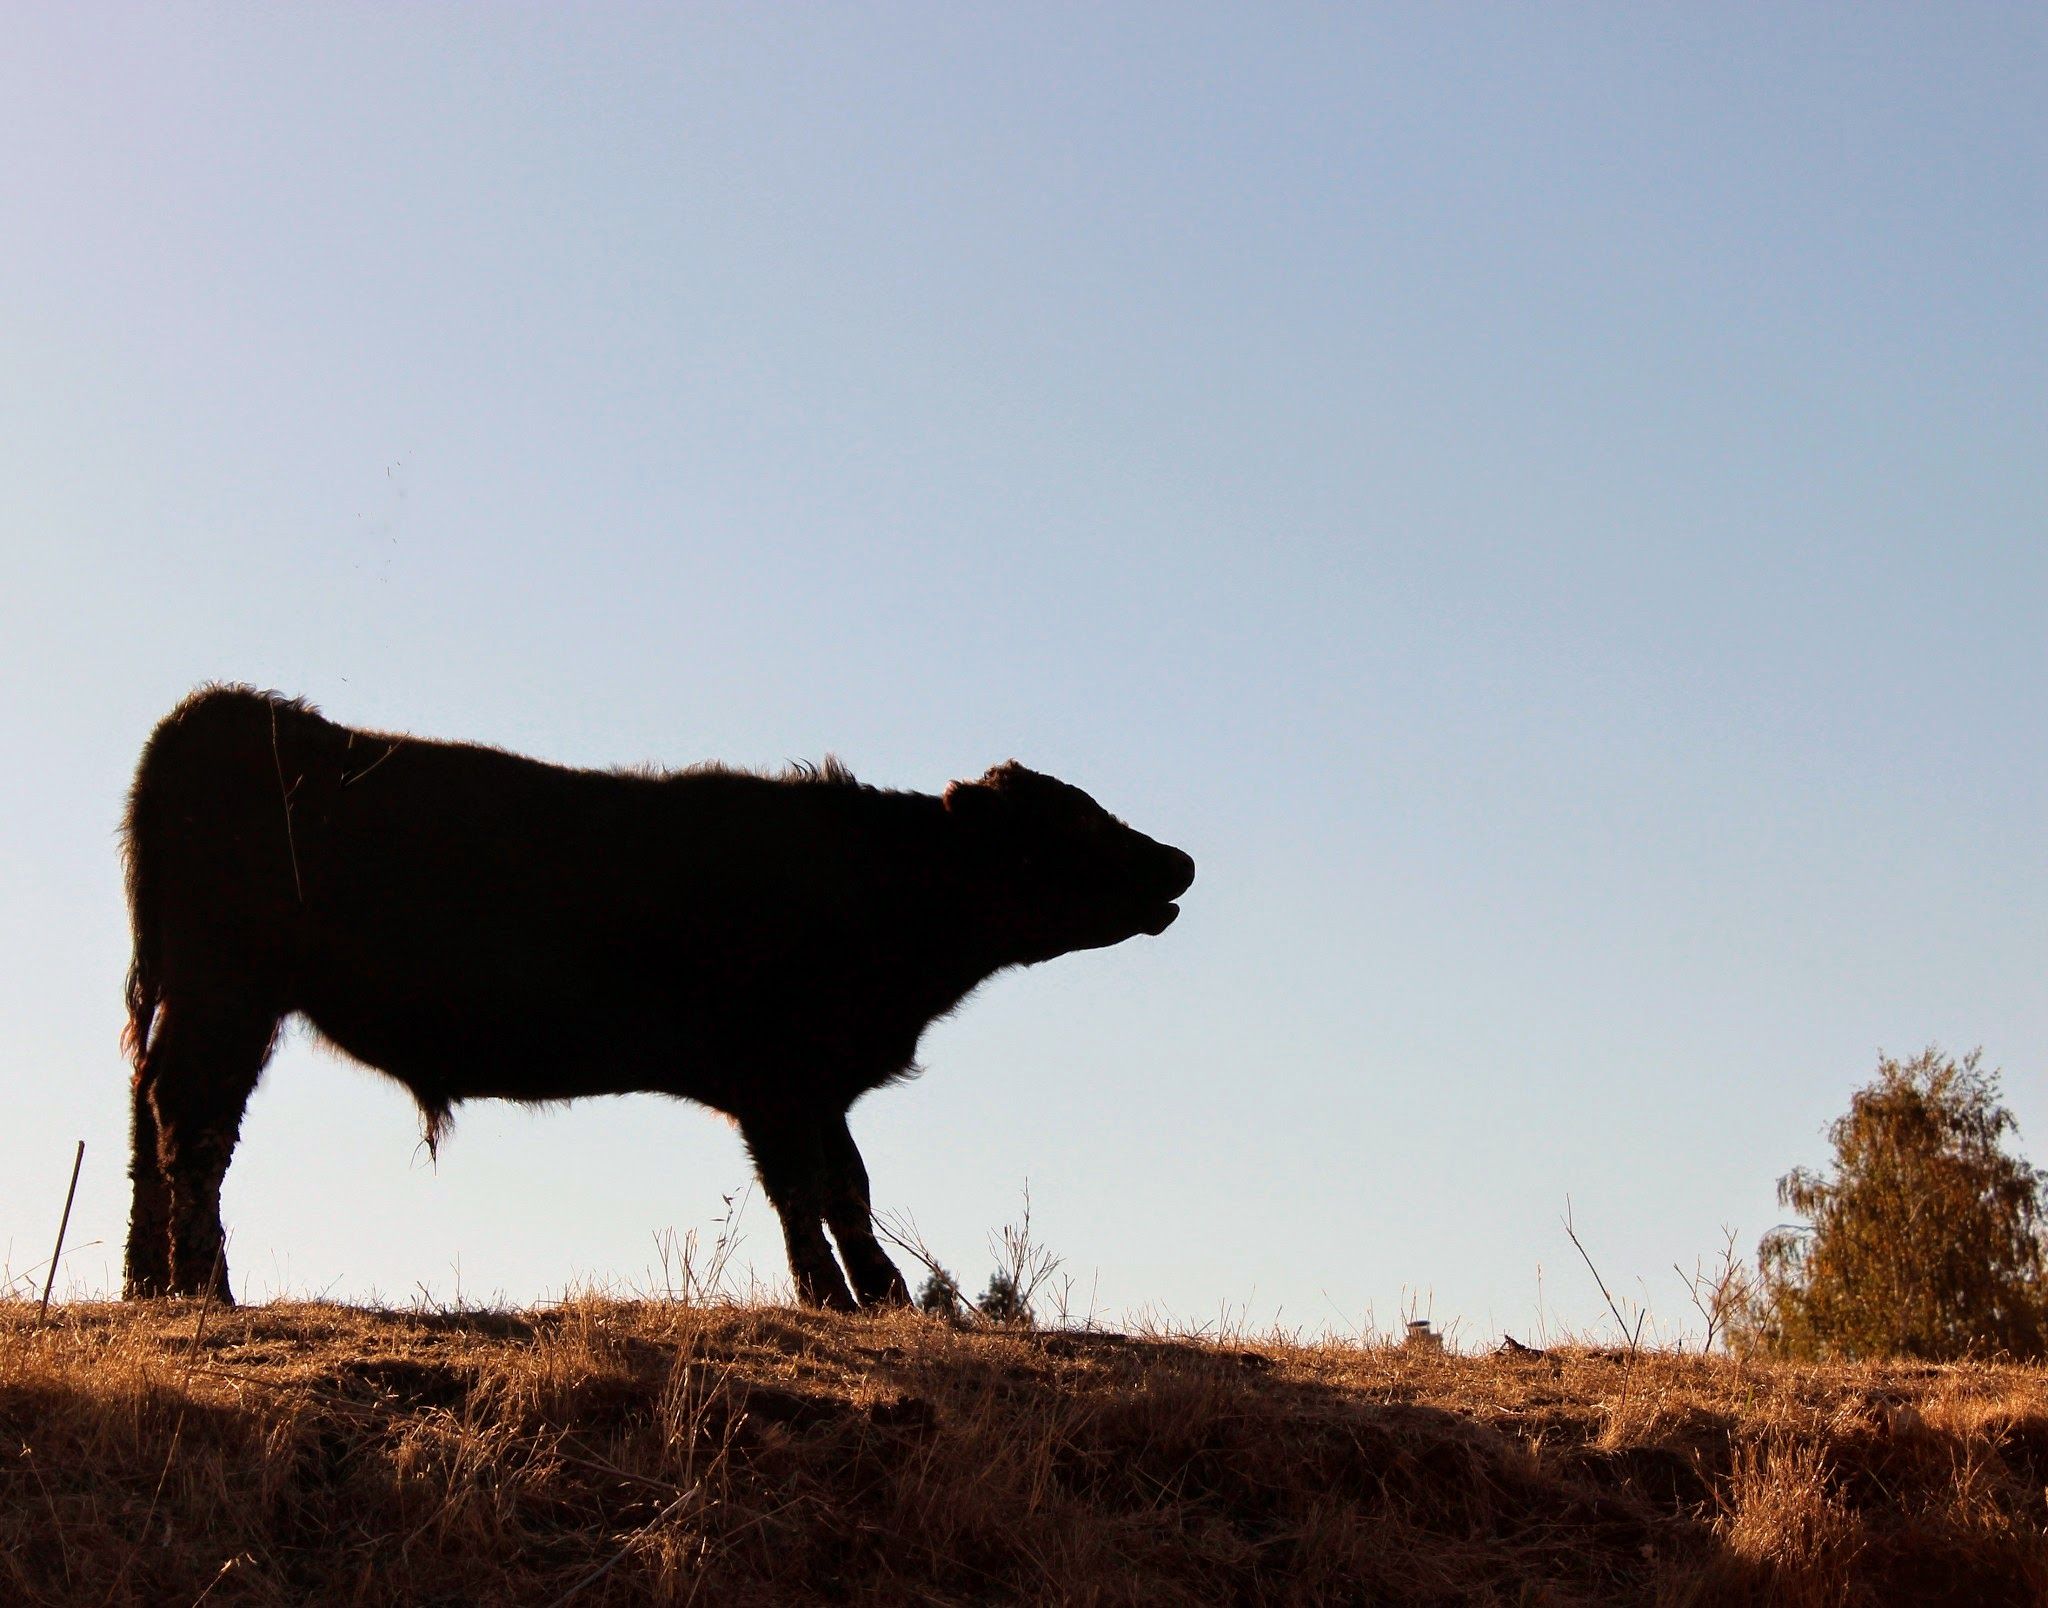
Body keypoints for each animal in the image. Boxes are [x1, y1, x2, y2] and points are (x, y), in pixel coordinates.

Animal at [121, 686, 1195, 1309]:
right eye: (1064, 824)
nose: (1178, 861)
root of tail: (219, 710)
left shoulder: (812, 1081)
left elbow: (847, 1183)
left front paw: (878, 1296)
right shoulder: (777, 1077)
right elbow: (809, 1187)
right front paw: (837, 1298)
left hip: (192, 996)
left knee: (146, 1119)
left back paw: (149, 1286)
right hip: (229, 992)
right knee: (193, 1125)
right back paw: (206, 1287)